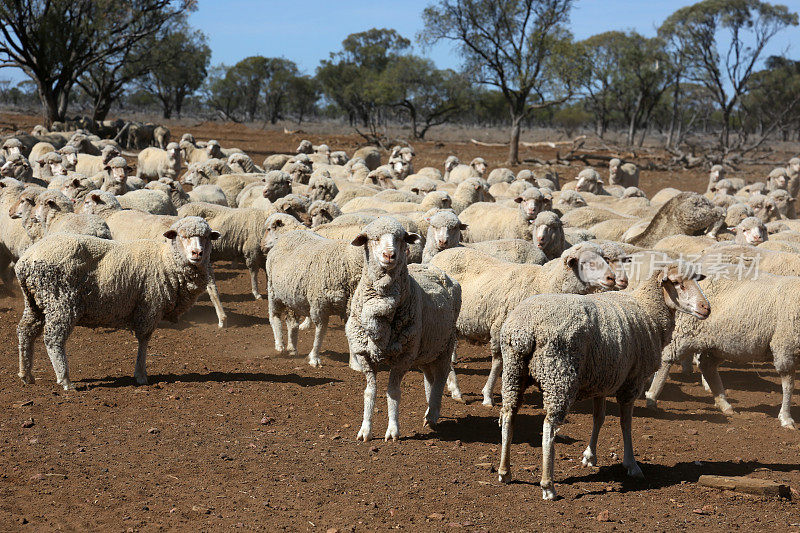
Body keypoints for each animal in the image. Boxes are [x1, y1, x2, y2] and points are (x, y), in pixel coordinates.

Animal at [16, 214, 222, 388]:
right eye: (182, 236)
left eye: (206, 237)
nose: (197, 253)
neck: (166, 262)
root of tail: (26, 260)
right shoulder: (150, 306)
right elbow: (144, 340)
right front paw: (141, 375)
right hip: (61, 301)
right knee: (53, 339)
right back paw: (65, 379)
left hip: (35, 302)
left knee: (25, 330)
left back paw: (26, 374)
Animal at [346, 216, 462, 440]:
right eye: (374, 238)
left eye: (400, 238)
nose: (389, 255)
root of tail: (435, 268)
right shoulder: (364, 355)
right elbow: (369, 392)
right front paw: (365, 430)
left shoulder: (403, 357)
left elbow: (393, 393)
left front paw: (392, 431)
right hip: (427, 349)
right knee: (430, 377)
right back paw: (429, 409)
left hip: (445, 345)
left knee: (441, 377)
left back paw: (433, 414)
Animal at [496, 264, 708, 498]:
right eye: (678, 283)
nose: (706, 308)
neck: (648, 311)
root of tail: (524, 329)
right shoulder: (631, 382)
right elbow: (626, 423)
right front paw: (631, 464)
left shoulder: (601, 380)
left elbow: (599, 418)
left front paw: (590, 456)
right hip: (558, 375)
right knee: (549, 427)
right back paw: (548, 485)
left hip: (514, 371)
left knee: (508, 415)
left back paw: (505, 471)